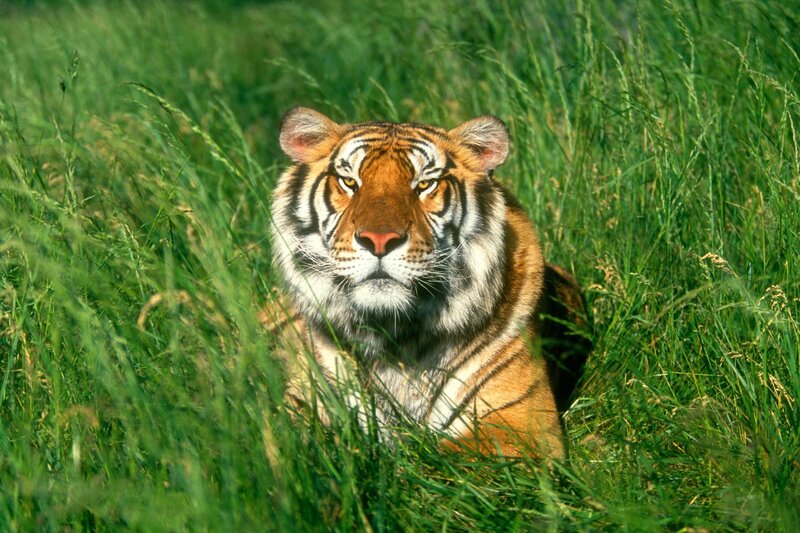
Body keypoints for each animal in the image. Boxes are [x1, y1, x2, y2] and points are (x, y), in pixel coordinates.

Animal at [267, 107, 591, 458]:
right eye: (349, 182)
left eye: (424, 185)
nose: (379, 240)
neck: (393, 335)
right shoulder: (303, 403)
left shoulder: (521, 425)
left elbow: (433, 460)